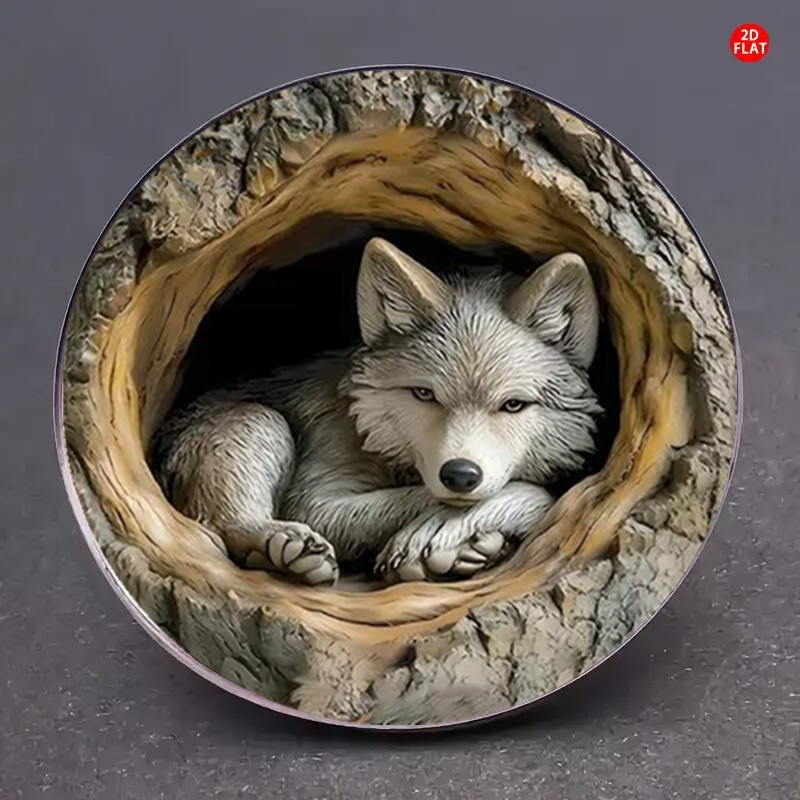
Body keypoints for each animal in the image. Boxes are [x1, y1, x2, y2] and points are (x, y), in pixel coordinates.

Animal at [153, 238, 603, 586]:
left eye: (513, 405)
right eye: (424, 394)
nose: (460, 475)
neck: (372, 436)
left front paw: (450, 540)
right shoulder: (317, 500)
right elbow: (528, 493)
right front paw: (434, 532)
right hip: (257, 422)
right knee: (222, 526)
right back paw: (281, 548)